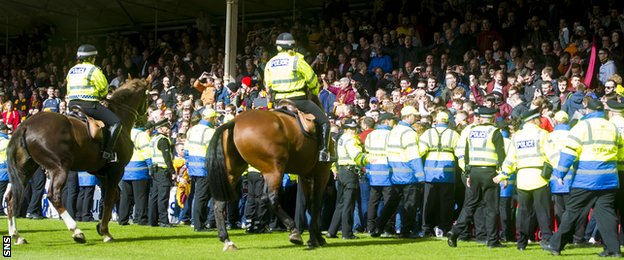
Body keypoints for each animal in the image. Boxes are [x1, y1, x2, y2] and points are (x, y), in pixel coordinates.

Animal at [6, 78, 150, 244]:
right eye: (148, 97)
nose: (145, 119)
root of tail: (26, 125)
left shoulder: (101, 173)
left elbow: (113, 196)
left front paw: (101, 226)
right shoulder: (116, 170)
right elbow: (109, 199)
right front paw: (105, 232)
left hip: (25, 169)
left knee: (11, 197)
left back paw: (16, 235)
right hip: (60, 168)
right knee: (54, 196)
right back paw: (76, 231)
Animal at [207, 109, 332, 250]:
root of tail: (235, 121)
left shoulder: (306, 175)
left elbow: (311, 204)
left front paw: (315, 237)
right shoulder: (321, 172)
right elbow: (316, 204)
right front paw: (316, 238)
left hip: (237, 172)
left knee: (220, 203)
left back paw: (226, 239)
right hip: (274, 170)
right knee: (270, 199)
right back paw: (293, 231)